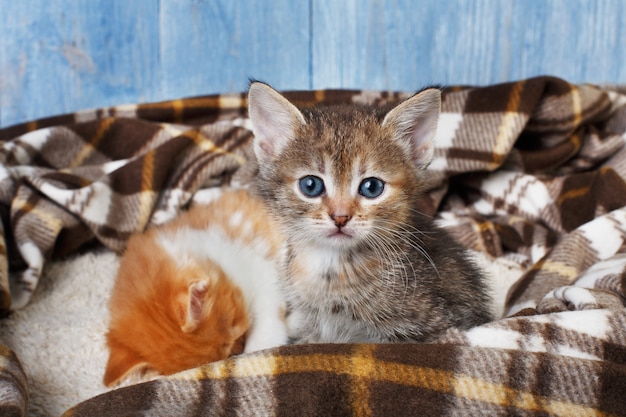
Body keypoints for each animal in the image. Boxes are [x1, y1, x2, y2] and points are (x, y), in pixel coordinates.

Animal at [246, 81, 490, 342]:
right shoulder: (309, 325)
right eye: (310, 185)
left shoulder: (438, 326)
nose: (340, 217)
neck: (333, 267)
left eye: (372, 187)